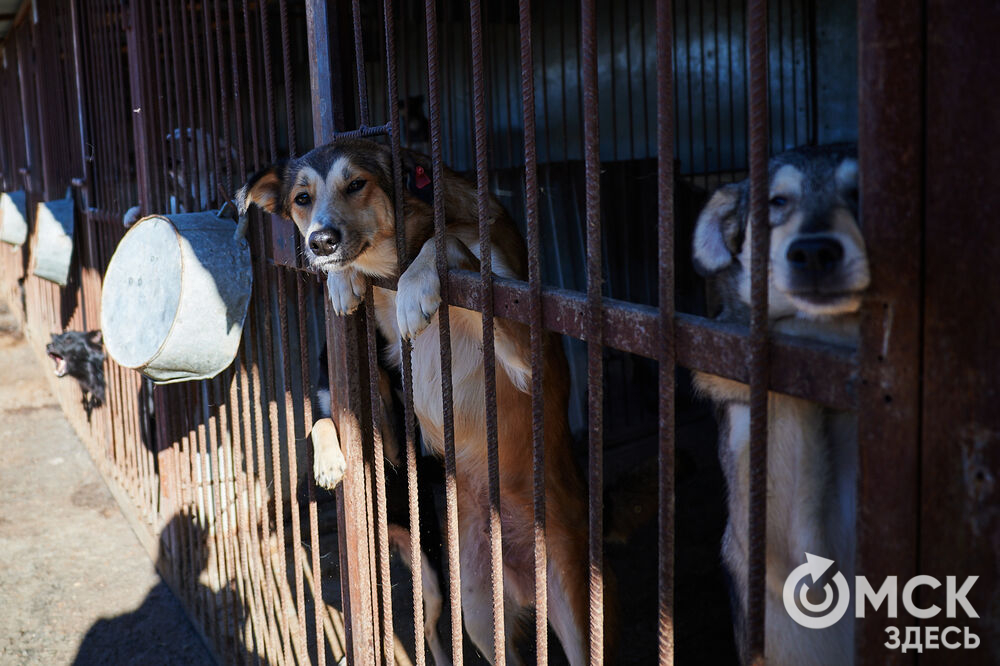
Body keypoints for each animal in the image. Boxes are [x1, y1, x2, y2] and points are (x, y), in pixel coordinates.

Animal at [236, 139, 592, 660]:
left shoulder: (528, 347)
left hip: (562, 604)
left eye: (357, 184)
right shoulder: (383, 421)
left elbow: (452, 246)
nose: (321, 242)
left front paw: (416, 284)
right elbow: (326, 420)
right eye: (302, 199)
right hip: (475, 605)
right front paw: (343, 282)